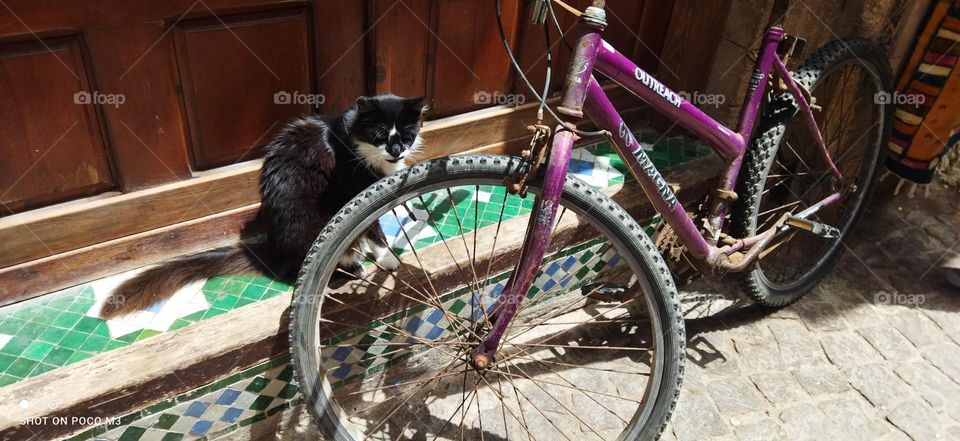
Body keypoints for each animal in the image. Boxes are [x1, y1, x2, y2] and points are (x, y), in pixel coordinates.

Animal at [100, 94, 424, 318]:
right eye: (379, 135)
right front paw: (387, 259)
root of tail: (275, 245)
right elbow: (374, 229)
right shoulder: (356, 192)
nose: (397, 151)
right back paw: (352, 265)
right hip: (315, 223)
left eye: (407, 137)